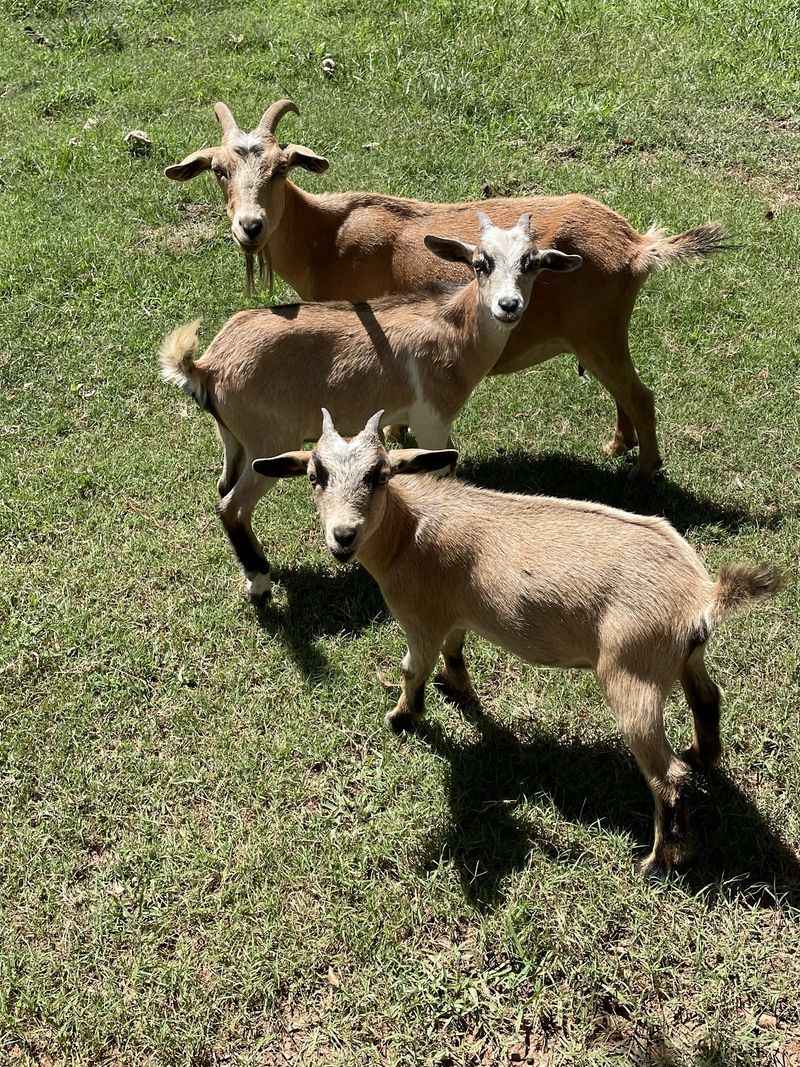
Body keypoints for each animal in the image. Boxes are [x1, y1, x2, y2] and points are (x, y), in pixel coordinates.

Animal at [160, 213, 582, 600]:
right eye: (481, 263)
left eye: (532, 263)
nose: (508, 305)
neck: (453, 327)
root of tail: (207, 366)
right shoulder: (433, 418)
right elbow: (442, 468)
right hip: (268, 440)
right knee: (232, 505)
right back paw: (260, 581)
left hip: (234, 439)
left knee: (222, 487)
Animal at [166, 98, 729, 477]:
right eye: (219, 170)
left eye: (281, 168)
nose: (251, 226)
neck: (327, 236)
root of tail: (635, 245)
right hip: (597, 337)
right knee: (623, 393)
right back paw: (618, 448)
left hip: (599, 331)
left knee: (640, 394)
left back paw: (645, 472)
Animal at [252, 409, 785, 875]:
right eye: (315, 475)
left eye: (379, 475)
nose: (343, 536)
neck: (408, 531)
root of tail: (702, 595)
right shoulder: (455, 612)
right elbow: (455, 651)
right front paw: (456, 689)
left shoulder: (420, 618)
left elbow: (412, 668)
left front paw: (403, 717)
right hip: (684, 659)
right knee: (708, 701)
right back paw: (703, 756)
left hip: (632, 673)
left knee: (667, 774)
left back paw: (659, 861)